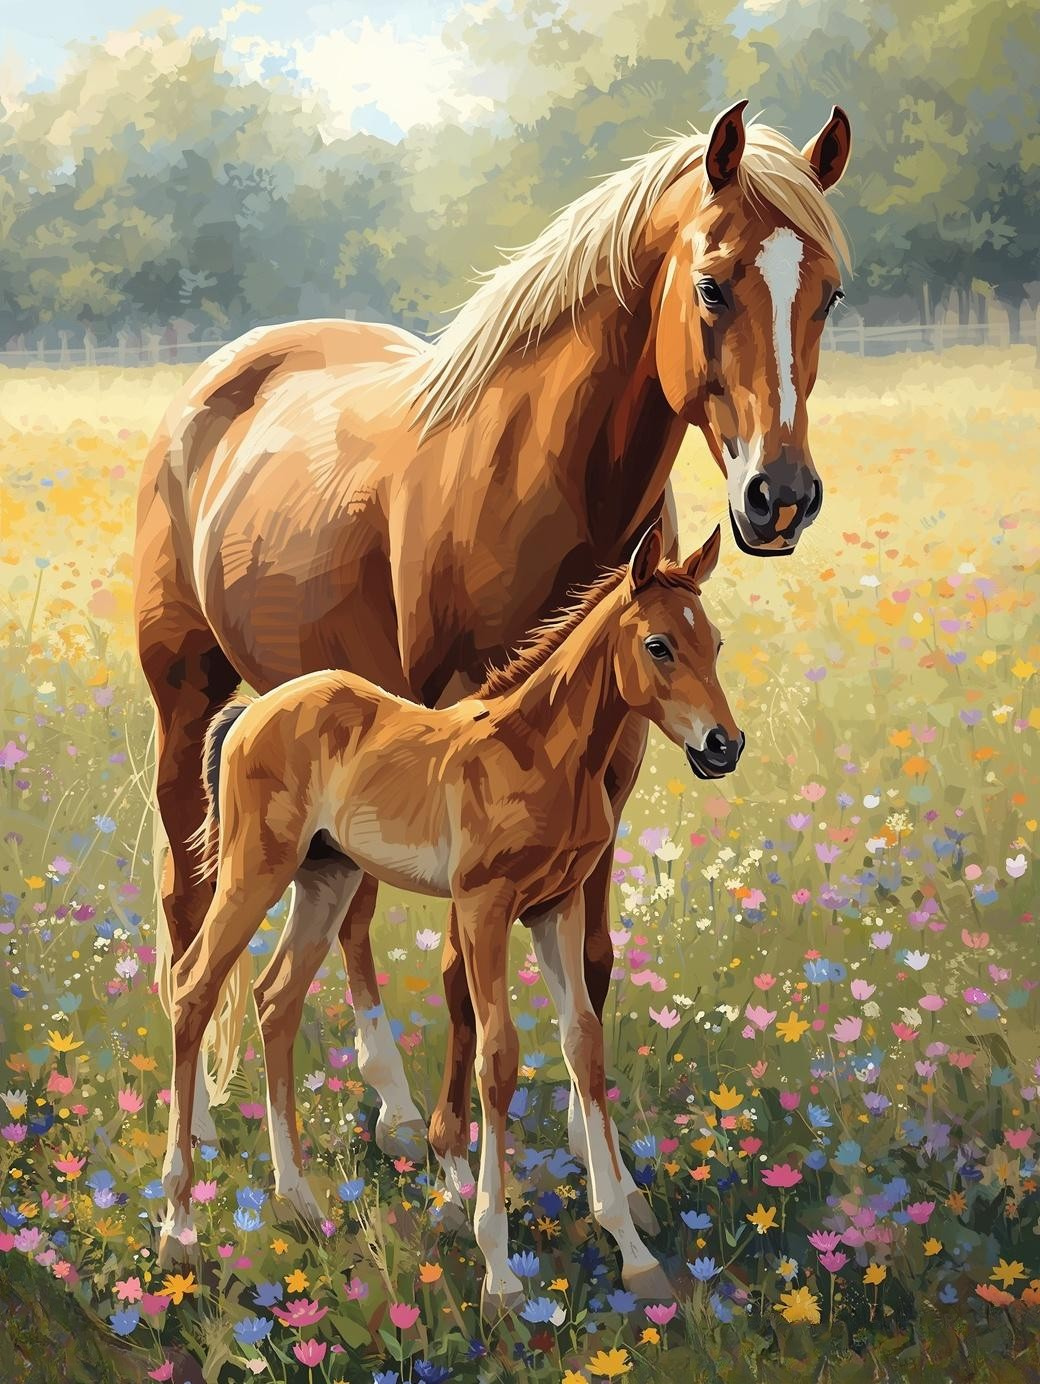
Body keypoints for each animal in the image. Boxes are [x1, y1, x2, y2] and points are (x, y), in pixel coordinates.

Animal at [134, 100, 851, 1225]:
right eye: (712, 283)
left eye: (828, 292)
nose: (778, 498)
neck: (543, 474)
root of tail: (216, 378)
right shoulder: (470, 734)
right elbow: (462, 976)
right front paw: (454, 1164)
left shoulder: (611, 763)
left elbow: (588, 971)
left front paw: (611, 1180)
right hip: (185, 700)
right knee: (189, 902)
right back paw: (215, 1131)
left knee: (340, 919)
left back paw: (380, 1111)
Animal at [159, 519, 742, 1312]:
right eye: (658, 645)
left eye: (714, 641)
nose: (724, 746)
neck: (538, 754)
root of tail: (252, 708)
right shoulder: (483, 907)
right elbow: (498, 1057)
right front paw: (498, 1266)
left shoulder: (555, 909)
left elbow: (584, 1043)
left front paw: (633, 1252)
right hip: (257, 869)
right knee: (194, 987)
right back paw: (178, 1224)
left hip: (327, 876)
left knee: (275, 997)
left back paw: (299, 1201)